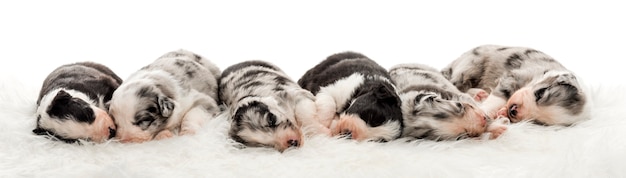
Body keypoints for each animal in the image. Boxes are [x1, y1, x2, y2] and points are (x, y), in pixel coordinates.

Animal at [442, 44, 588, 125]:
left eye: (536, 121)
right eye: (540, 93)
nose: (513, 110)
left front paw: (503, 113)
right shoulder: (514, 76)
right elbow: (497, 97)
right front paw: (484, 112)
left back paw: (480, 93)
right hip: (470, 66)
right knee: (456, 85)